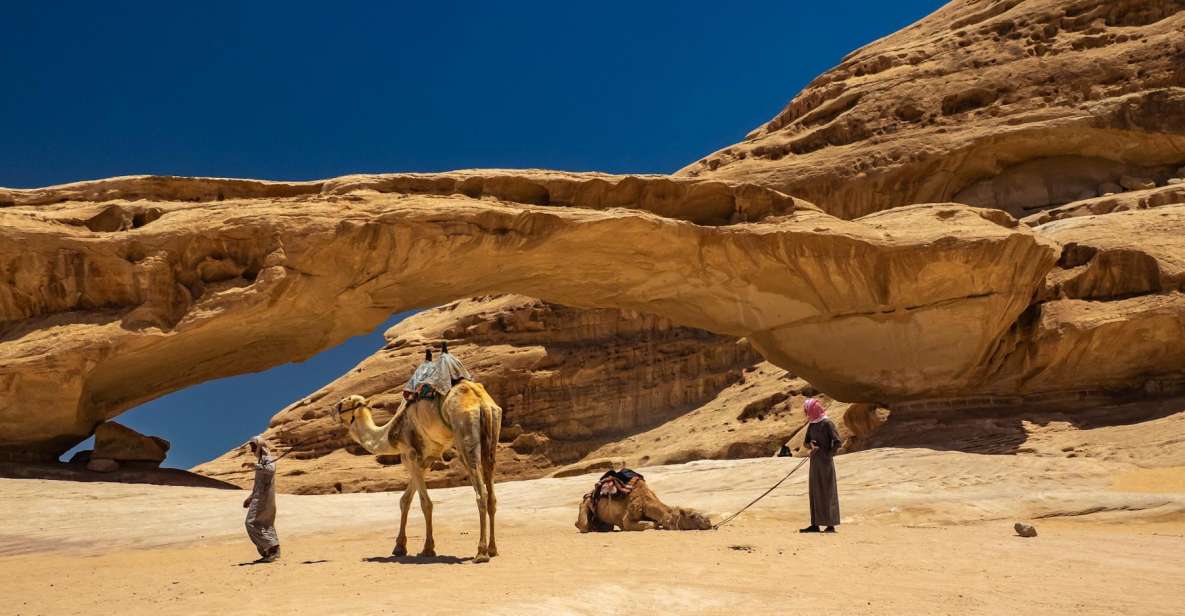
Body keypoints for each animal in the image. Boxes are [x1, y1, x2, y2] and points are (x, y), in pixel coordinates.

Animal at [331, 383, 502, 563]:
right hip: (493, 428)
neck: (389, 434)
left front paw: (428, 548)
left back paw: (481, 553)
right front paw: (399, 547)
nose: (332, 411)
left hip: (464, 431)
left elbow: (425, 503)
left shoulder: (410, 455)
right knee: (491, 492)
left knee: (480, 492)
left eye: (343, 402)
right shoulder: (424, 461)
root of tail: (480, 400)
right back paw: (492, 549)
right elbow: (405, 500)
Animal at [575, 473, 706, 530]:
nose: (708, 522)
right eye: (692, 516)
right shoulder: (628, 518)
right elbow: (651, 524)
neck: (646, 501)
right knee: (584, 525)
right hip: (586, 504)